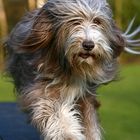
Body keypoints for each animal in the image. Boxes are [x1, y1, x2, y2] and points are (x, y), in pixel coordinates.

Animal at [5, 0, 140, 140]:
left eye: (97, 21)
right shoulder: (40, 89)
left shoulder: (86, 96)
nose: (88, 45)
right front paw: (67, 133)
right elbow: (53, 111)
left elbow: (90, 122)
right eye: (75, 21)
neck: (72, 68)